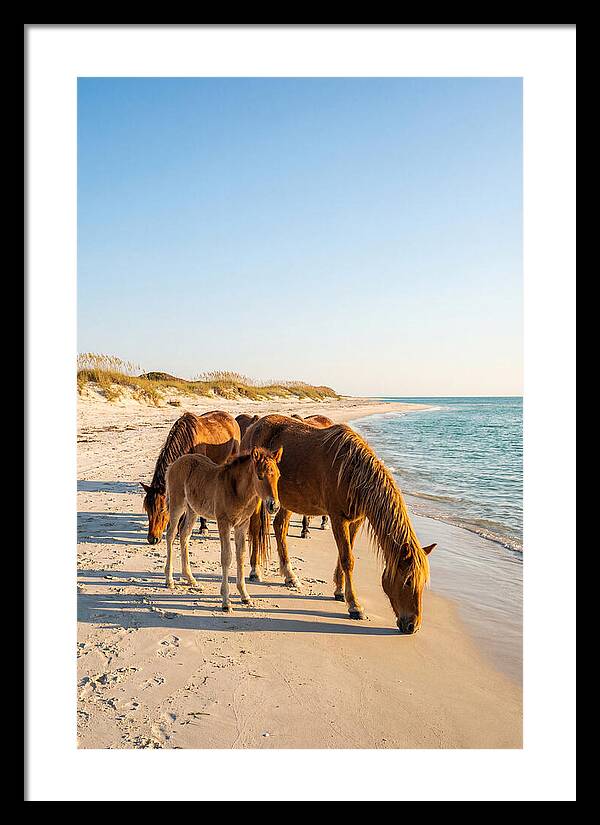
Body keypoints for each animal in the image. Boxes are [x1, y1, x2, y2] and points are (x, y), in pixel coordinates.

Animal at [141, 410, 240, 545]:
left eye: (162, 509)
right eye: (147, 509)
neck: (188, 441)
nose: (152, 539)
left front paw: (203, 527)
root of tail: (230, 418)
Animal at [165, 446, 283, 611]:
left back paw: (190, 578)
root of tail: (174, 463)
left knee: (184, 534)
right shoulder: (224, 522)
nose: (274, 506)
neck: (238, 491)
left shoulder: (242, 524)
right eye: (260, 476)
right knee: (171, 534)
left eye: (278, 476)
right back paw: (169, 580)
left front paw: (245, 595)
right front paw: (226, 601)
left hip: (193, 509)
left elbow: (241, 555)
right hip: (177, 504)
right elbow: (227, 557)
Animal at [243, 415, 436, 633]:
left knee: (279, 527)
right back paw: (255, 570)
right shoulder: (337, 518)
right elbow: (347, 559)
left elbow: (344, 554)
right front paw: (355, 606)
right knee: (256, 527)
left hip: (287, 500)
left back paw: (290, 576)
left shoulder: (356, 520)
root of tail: (254, 425)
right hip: (259, 497)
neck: (353, 472)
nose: (413, 626)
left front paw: (339, 591)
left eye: (423, 582)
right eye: (408, 581)